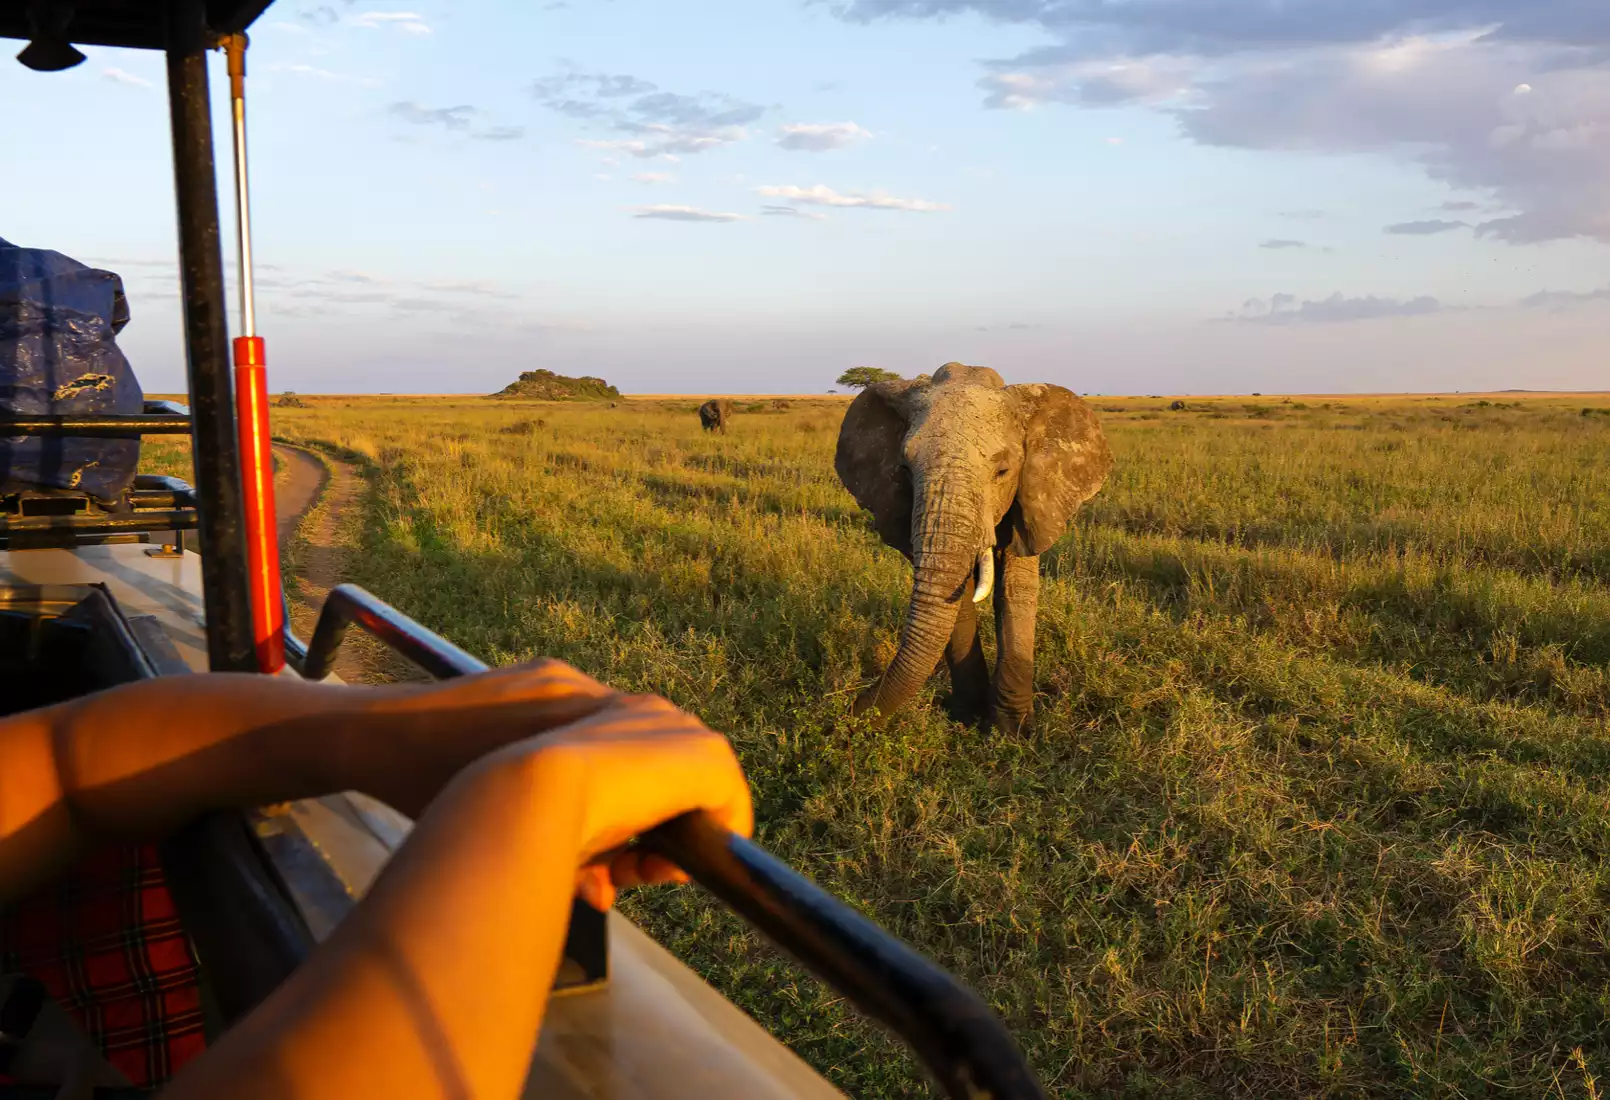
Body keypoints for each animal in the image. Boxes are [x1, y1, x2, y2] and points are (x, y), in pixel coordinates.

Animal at [835, 362, 1112, 734]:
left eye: (1003, 470)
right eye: (904, 469)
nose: (846, 715)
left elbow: (1015, 586)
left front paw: (1012, 731)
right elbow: (960, 593)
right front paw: (969, 716)